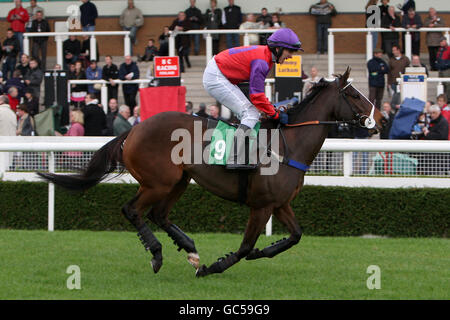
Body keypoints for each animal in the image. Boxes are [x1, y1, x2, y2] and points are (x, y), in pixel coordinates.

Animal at [38, 68, 384, 278]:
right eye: (354, 95)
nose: (379, 118)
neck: (289, 145)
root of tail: (133, 130)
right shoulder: (261, 205)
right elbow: (244, 247)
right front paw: (213, 267)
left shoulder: (280, 203)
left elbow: (295, 236)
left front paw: (261, 251)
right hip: (157, 182)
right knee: (132, 210)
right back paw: (158, 254)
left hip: (179, 180)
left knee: (159, 214)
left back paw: (189, 249)